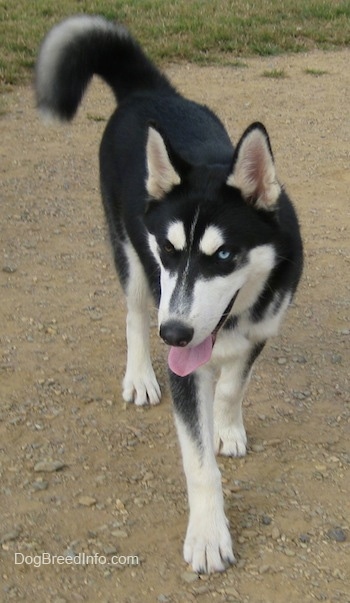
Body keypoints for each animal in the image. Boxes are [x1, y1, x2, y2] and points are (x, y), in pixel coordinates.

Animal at [36, 15, 304, 576]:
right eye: (169, 248)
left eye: (224, 255)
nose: (176, 333)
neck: (230, 323)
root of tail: (149, 90)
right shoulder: (178, 342)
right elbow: (199, 463)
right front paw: (208, 534)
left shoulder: (260, 330)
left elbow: (231, 387)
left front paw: (227, 427)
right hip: (130, 257)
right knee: (135, 316)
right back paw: (140, 374)